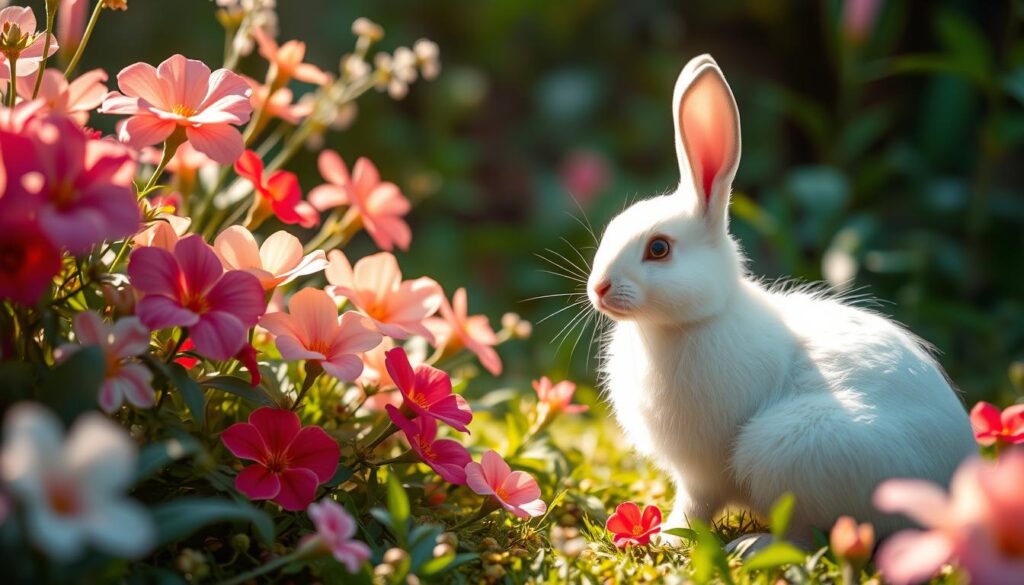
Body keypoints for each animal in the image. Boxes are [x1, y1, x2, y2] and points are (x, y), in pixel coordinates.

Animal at [587, 54, 976, 545]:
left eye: (659, 248)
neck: (694, 321)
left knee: (810, 536)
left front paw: (668, 539)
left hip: (787, 448)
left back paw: (751, 546)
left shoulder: (702, 476)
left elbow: (693, 509)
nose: (598, 288)